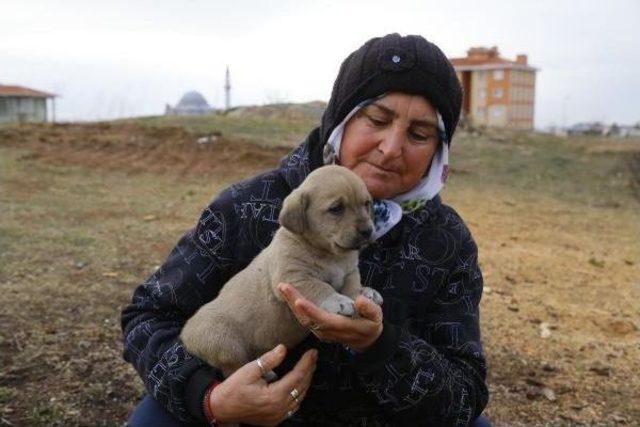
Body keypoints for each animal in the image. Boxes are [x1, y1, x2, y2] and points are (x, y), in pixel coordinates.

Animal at [178, 166, 382, 376]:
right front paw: (339, 301)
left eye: (366, 204)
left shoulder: (350, 271)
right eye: (336, 208)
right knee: (234, 368)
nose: (368, 231)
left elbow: (353, 285)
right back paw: (265, 372)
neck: (329, 254)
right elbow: (320, 287)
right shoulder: (293, 277)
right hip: (225, 342)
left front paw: (363, 294)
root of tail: (184, 335)